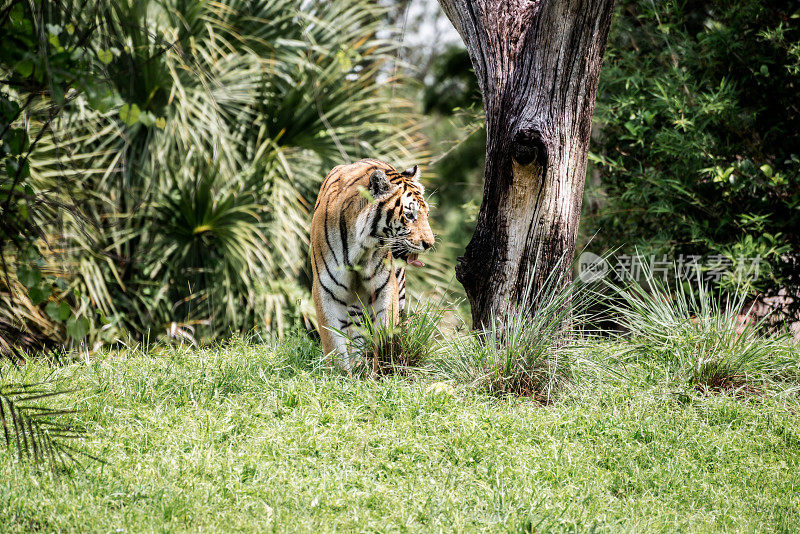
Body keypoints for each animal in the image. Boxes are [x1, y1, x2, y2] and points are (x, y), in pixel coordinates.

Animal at [310, 157, 434, 370]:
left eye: (427, 214)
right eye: (410, 215)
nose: (430, 244)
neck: (360, 247)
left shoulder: (385, 287)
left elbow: (385, 332)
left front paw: (384, 365)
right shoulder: (325, 289)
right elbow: (333, 343)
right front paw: (340, 373)